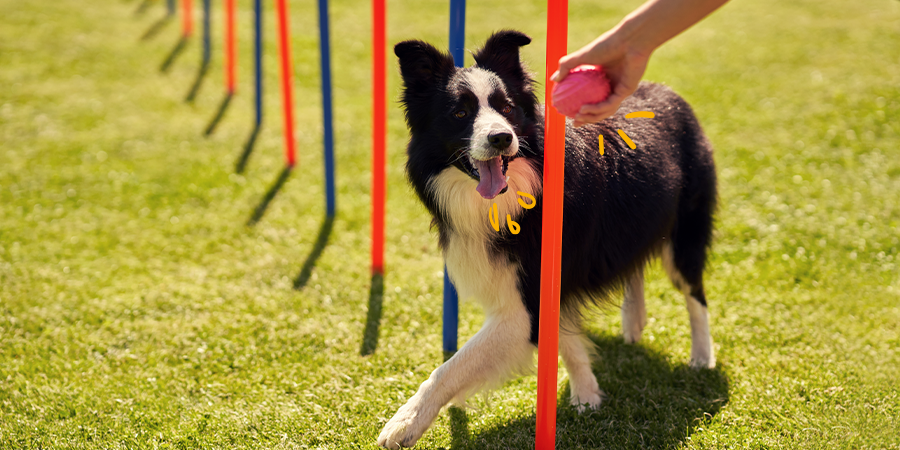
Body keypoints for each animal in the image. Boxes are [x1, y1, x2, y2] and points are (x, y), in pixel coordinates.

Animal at [378, 29, 716, 448]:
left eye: (507, 108)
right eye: (459, 113)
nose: (501, 137)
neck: (513, 198)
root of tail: (666, 91)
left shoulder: (525, 302)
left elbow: (453, 367)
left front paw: (404, 422)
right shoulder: (547, 287)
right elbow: (565, 338)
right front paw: (587, 392)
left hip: (686, 229)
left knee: (694, 292)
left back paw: (702, 356)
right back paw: (634, 322)